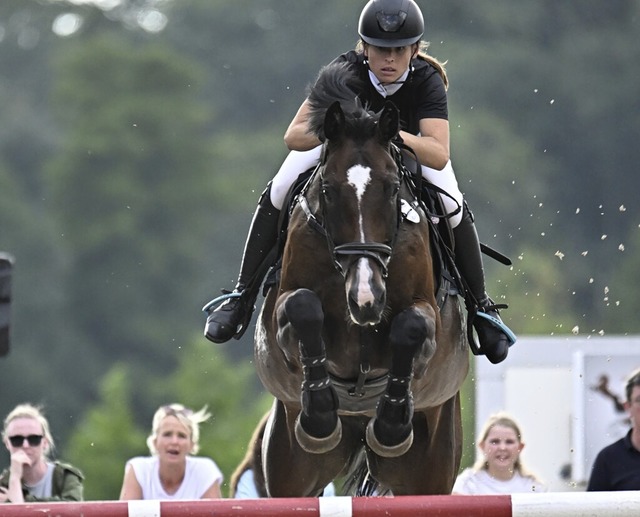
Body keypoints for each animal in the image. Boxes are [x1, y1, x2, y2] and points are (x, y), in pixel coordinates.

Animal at [252, 61, 468, 496]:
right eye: (329, 189)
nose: (365, 298)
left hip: (431, 471)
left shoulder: (429, 317)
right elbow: (303, 308)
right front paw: (319, 414)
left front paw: (390, 425)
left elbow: (411, 326)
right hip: (290, 465)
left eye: (391, 188)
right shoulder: (282, 314)